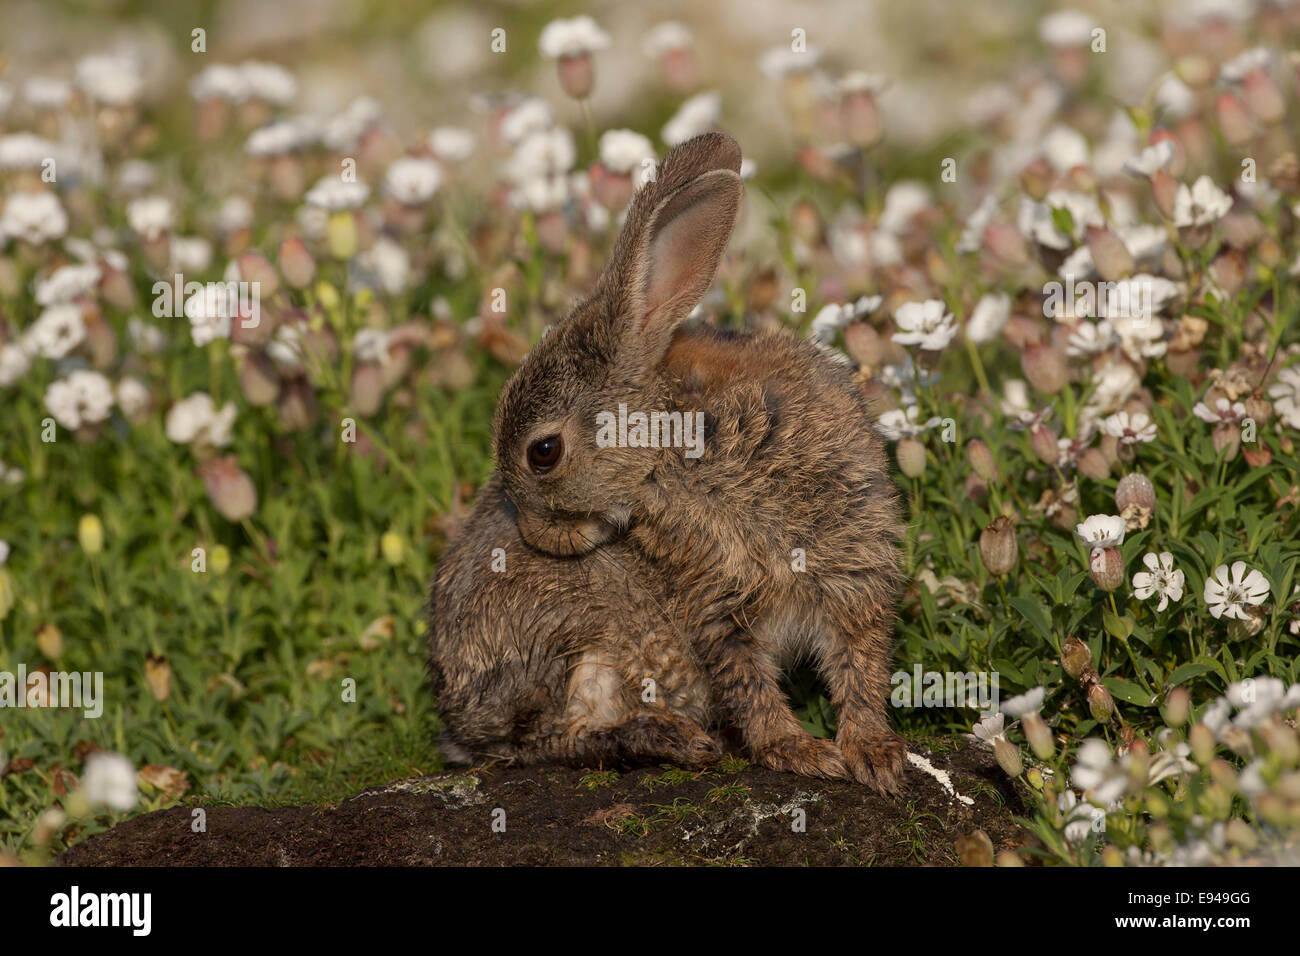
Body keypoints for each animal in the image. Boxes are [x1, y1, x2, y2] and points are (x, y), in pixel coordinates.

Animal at [490, 131, 908, 792]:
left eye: (543, 452)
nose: (534, 537)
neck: (669, 442)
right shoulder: (715, 597)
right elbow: (748, 681)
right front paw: (798, 749)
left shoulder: (852, 567)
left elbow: (858, 664)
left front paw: (875, 753)